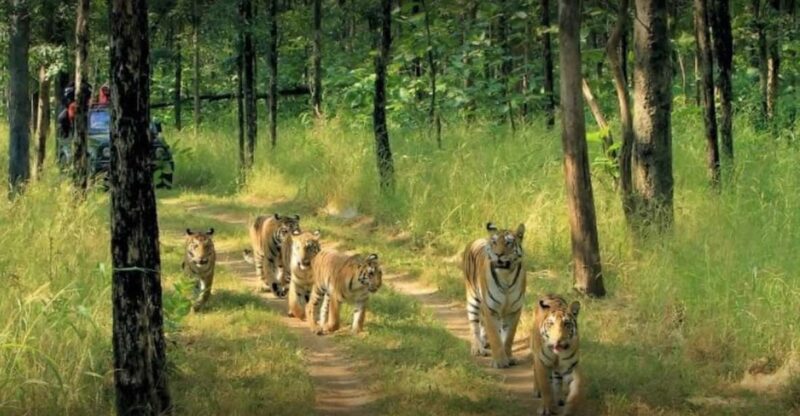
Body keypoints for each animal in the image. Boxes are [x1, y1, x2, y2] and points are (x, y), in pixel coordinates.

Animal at [463, 222, 526, 369]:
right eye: (494, 242)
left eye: (508, 243)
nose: (498, 254)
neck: (506, 276)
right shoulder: (490, 309)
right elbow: (495, 336)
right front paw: (500, 361)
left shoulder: (514, 311)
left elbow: (509, 337)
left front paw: (509, 357)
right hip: (473, 300)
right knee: (474, 326)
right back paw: (477, 348)